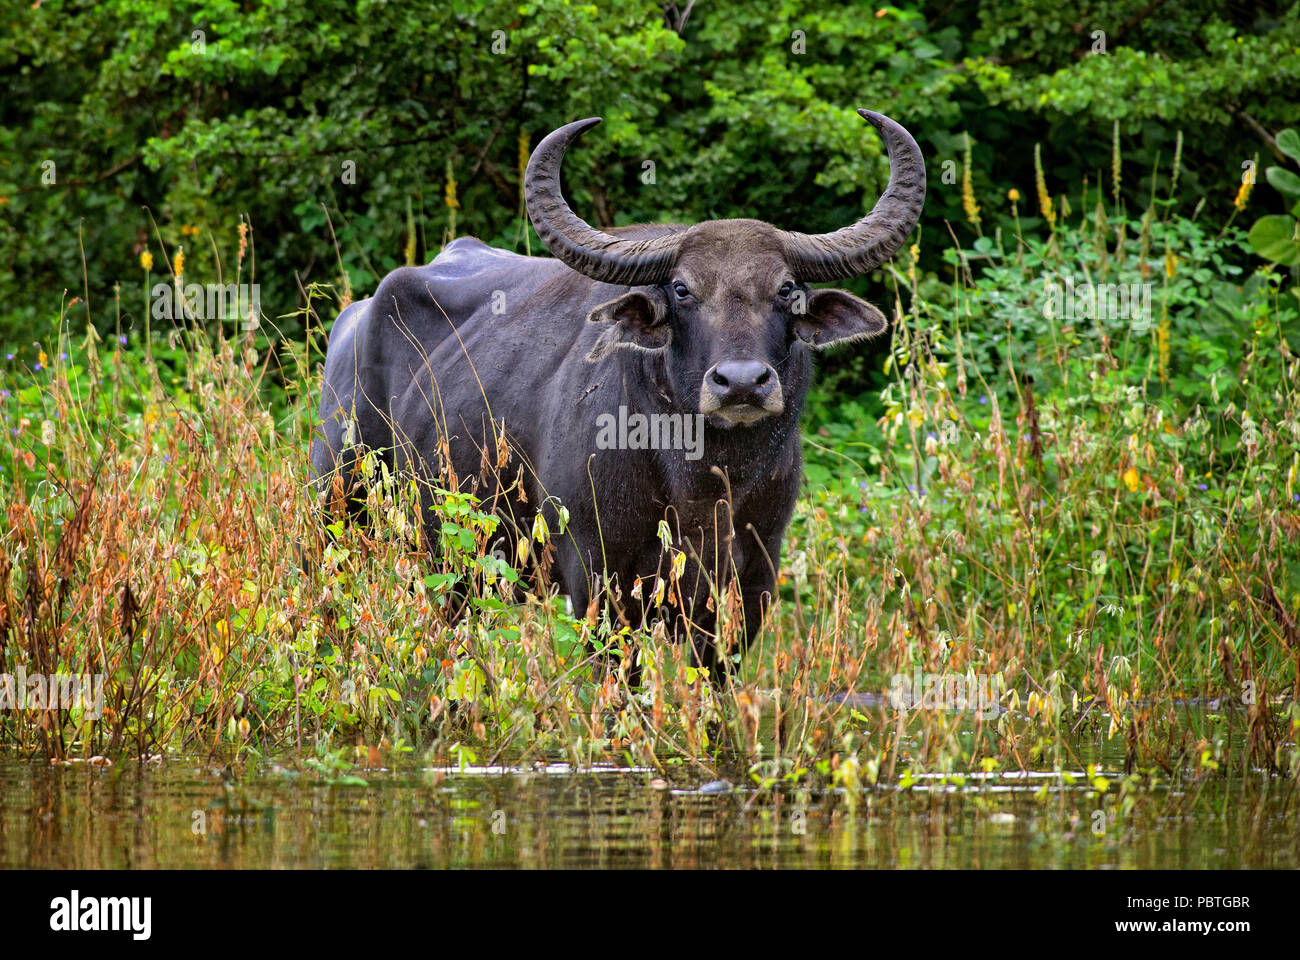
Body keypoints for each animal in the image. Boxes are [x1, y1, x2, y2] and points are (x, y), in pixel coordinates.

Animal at [312, 108, 925, 676]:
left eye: (787, 288)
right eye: (681, 289)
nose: (741, 382)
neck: (702, 483)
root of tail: (354, 321)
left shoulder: (748, 590)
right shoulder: (600, 585)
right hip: (338, 515)